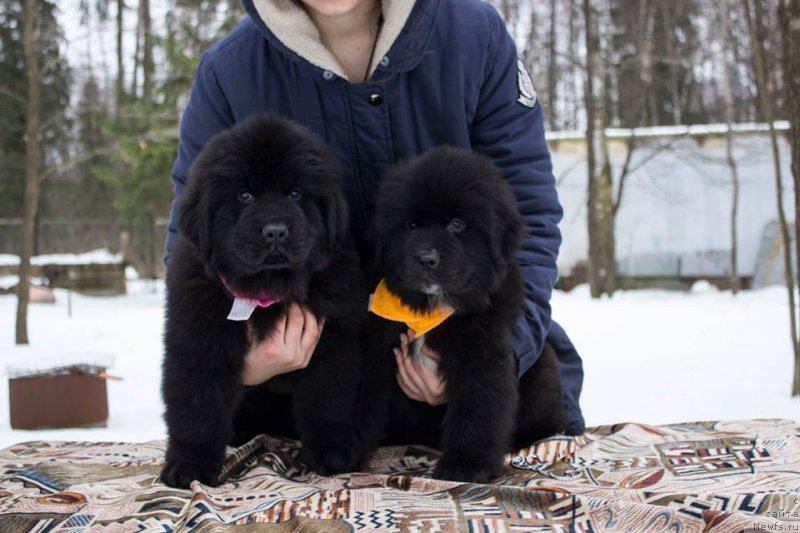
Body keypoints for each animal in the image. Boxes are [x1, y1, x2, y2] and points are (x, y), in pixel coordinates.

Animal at [163, 114, 368, 488]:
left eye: (295, 193)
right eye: (245, 195)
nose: (275, 231)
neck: (268, 290)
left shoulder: (334, 339)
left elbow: (327, 399)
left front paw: (331, 452)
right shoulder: (198, 340)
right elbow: (197, 406)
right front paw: (189, 465)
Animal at [362, 147, 568, 482]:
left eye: (457, 224)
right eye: (411, 226)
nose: (426, 258)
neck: (434, 307)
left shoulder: (482, 356)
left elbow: (476, 412)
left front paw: (466, 465)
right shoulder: (377, 348)